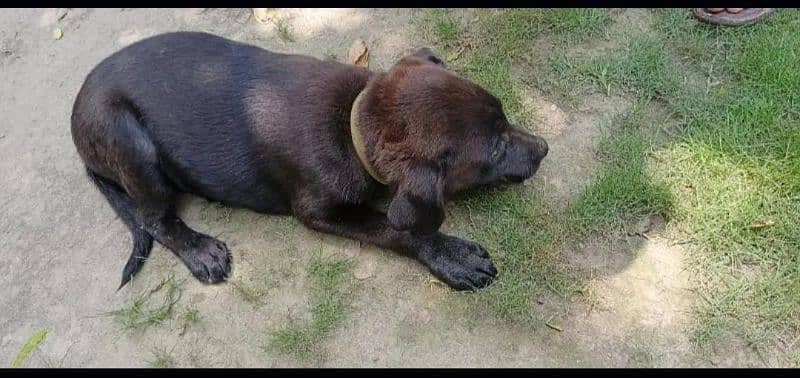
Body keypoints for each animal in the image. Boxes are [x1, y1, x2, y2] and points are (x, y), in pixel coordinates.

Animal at [70, 33, 552, 292]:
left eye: (505, 114)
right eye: (494, 149)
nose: (545, 147)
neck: (351, 124)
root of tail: (76, 114)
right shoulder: (317, 212)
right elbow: (399, 230)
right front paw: (451, 255)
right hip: (131, 143)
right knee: (153, 219)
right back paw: (199, 250)